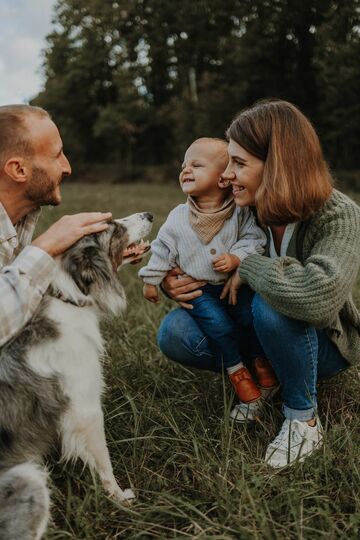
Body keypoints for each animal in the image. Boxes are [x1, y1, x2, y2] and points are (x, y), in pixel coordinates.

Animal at [0, 212, 153, 540]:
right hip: (29, 480)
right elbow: (104, 461)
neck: (67, 297)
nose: (148, 215)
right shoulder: (86, 408)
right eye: (114, 227)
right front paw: (122, 499)